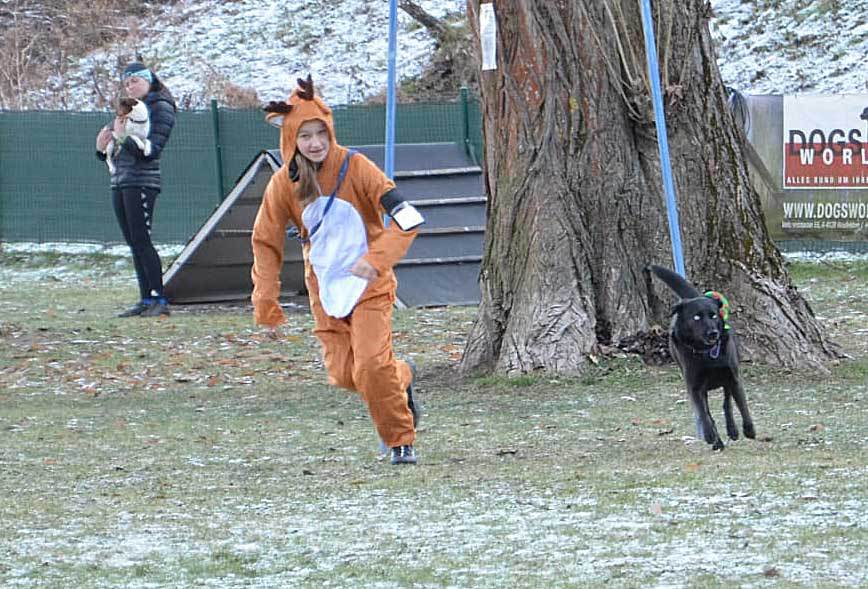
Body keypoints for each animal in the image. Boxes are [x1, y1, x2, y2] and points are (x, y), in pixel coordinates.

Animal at [648, 265, 755, 450]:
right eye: (696, 317)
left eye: (713, 315)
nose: (713, 333)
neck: (707, 354)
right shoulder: (695, 387)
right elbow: (704, 414)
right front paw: (710, 435)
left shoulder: (734, 378)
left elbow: (742, 406)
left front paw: (749, 429)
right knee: (710, 412)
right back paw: (718, 441)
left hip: (727, 381)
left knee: (727, 404)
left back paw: (733, 430)